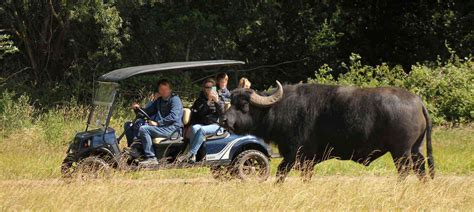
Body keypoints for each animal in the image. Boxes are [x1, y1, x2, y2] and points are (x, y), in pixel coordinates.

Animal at [222, 81, 434, 182]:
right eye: (231, 101)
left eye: (243, 105)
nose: (223, 120)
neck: (281, 109)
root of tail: (418, 101)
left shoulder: (297, 156)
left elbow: (282, 173)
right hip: (415, 150)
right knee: (421, 169)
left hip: (401, 152)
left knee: (404, 171)